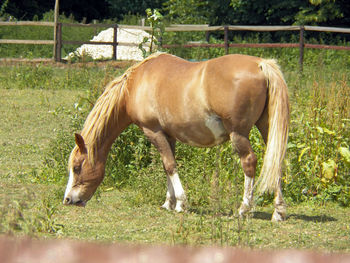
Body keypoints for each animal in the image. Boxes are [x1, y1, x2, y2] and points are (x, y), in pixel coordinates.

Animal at [63, 52, 290, 222]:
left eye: (77, 167)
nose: (68, 200)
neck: (135, 86)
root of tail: (261, 64)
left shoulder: (153, 131)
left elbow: (171, 166)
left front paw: (181, 203)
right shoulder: (168, 136)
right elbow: (167, 166)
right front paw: (168, 202)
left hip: (239, 134)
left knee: (249, 162)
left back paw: (244, 208)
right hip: (267, 128)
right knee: (275, 160)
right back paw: (278, 211)